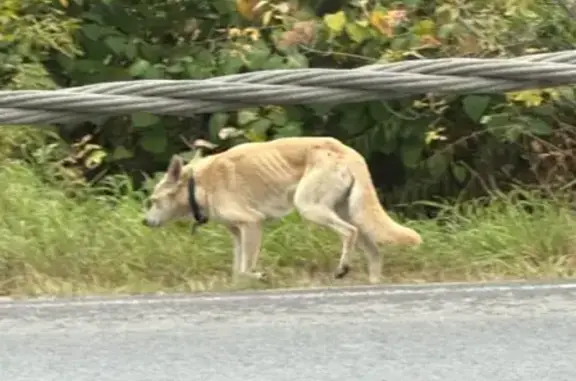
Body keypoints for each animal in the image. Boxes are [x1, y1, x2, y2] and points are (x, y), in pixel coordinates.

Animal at [143, 136, 424, 282]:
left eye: (154, 201)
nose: (145, 222)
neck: (199, 184)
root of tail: (347, 151)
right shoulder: (238, 233)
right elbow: (237, 271)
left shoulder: (252, 223)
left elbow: (245, 269)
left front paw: (258, 277)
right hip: (351, 212)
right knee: (374, 252)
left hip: (311, 207)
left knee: (349, 233)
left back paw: (343, 268)